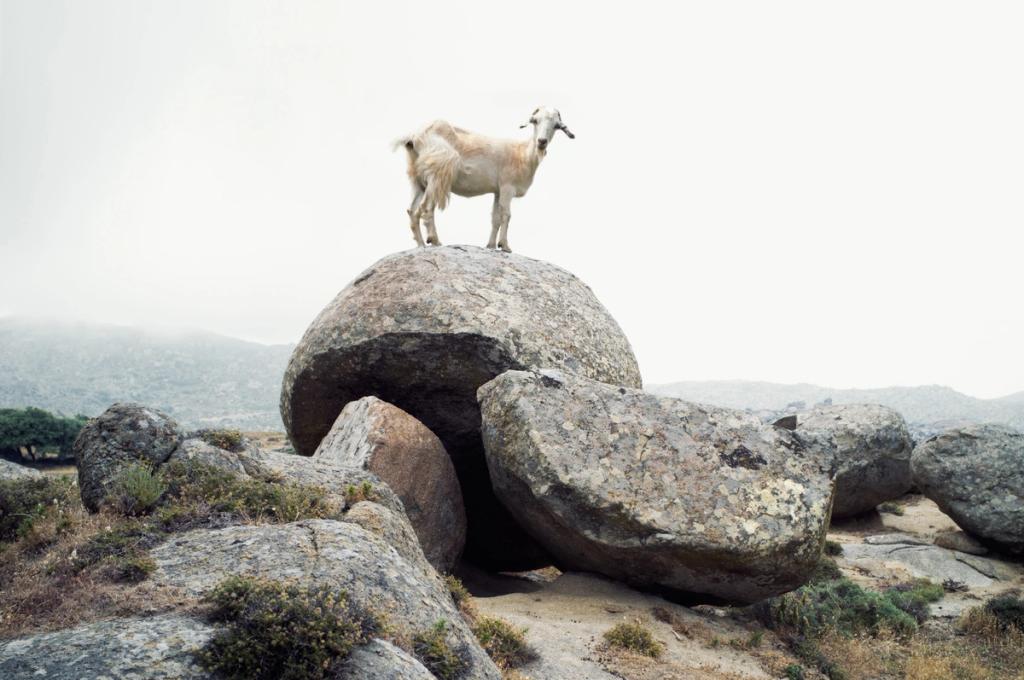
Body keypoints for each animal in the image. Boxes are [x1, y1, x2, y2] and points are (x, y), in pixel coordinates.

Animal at [393, 106, 574, 253]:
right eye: (535, 121)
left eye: (556, 125)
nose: (542, 142)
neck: (522, 154)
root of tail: (413, 137)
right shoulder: (507, 187)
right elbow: (506, 215)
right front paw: (505, 246)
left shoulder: (497, 191)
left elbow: (495, 218)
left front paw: (491, 246)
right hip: (437, 173)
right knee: (425, 208)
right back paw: (434, 241)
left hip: (418, 179)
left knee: (412, 210)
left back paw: (421, 244)